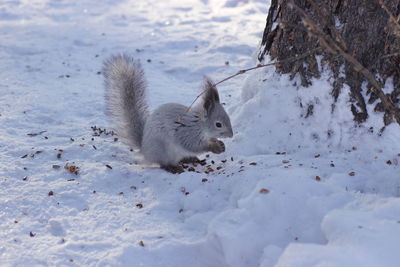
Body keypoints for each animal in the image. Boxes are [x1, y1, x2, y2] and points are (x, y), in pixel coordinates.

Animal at [103, 54, 233, 174]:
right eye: (218, 124)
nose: (231, 135)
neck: (199, 124)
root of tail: (144, 150)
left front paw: (220, 144)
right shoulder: (186, 133)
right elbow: (193, 146)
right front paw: (214, 147)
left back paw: (190, 159)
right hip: (164, 152)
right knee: (162, 164)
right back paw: (173, 167)